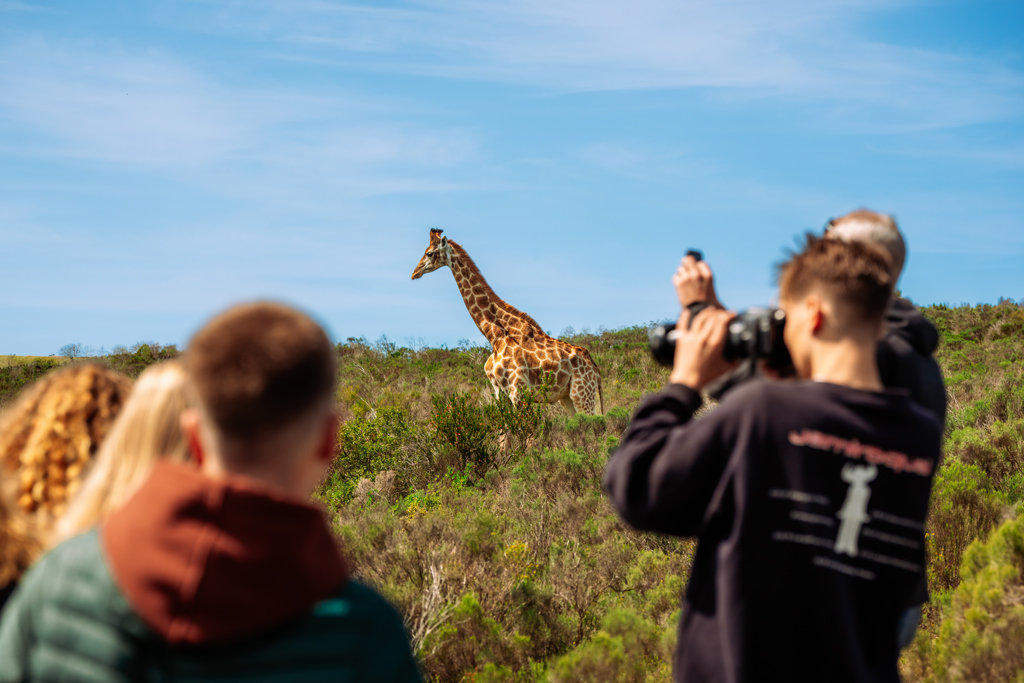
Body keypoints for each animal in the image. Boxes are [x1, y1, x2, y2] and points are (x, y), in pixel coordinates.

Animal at [411, 229, 603, 415]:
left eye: (429, 253)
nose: (414, 273)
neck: (494, 336)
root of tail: (595, 367)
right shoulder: (498, 391)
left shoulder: (518, 390)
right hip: (567, 398)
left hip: (582, 394)